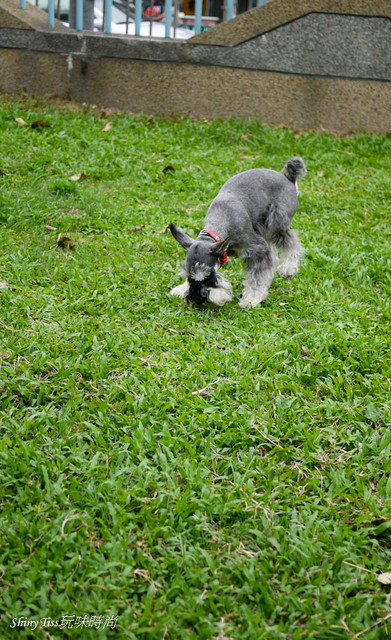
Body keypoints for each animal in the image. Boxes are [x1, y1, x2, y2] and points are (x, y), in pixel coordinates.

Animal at [170, 159, 308, 310]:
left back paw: (288, 268)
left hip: (277, 223)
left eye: (209, 275)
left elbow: (257, 278)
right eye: (189, 276)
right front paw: (181, 288)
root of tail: (288, 179)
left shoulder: (258, 248)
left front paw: (251, 299)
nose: (198, 299)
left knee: (291, 243)